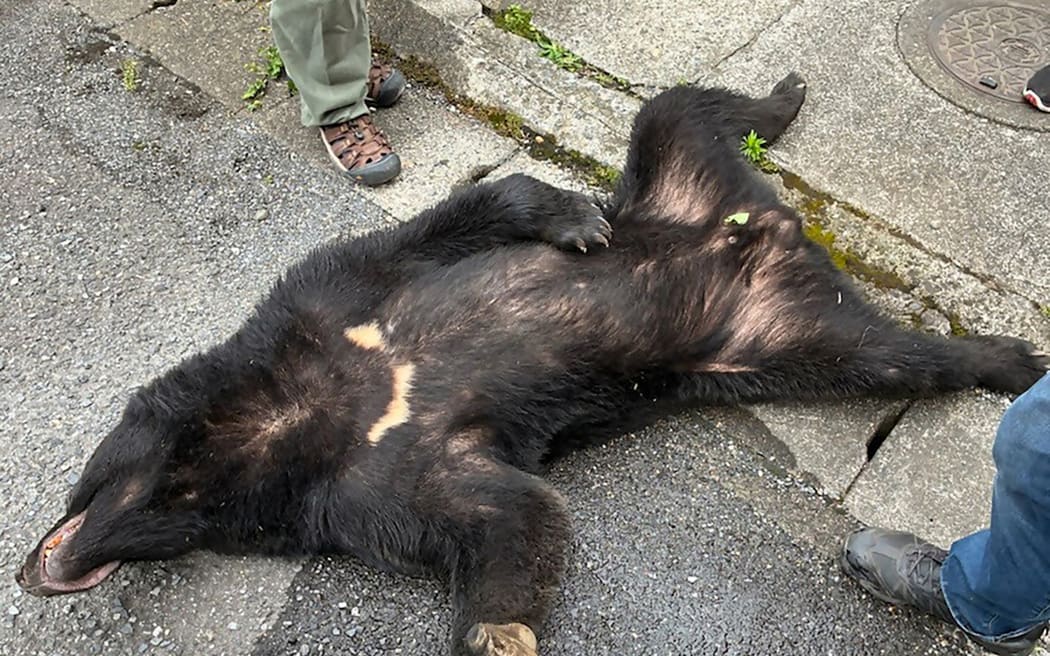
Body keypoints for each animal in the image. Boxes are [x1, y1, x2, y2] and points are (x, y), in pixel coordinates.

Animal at [16, 73, 1048, 656]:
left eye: (88, 472)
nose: (31, 568)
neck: (288, 419)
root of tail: (771, 226)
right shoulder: (360, 488)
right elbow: (507, 515)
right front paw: (498, 630)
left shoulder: (329, 302)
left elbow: (449, 222)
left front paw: (572, 220)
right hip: (779, 337)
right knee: (894, 356)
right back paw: (1004, 356)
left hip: (675, 180)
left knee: (680, 106)